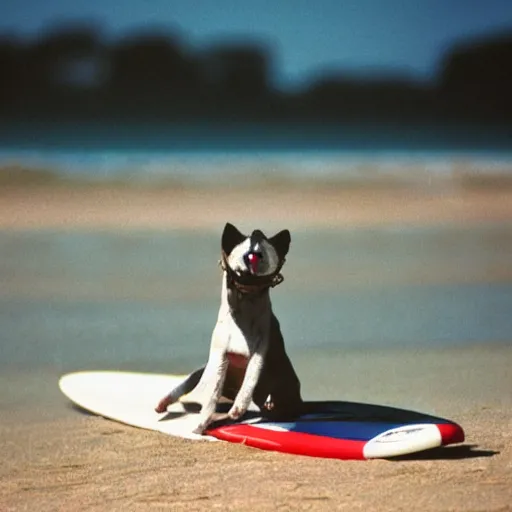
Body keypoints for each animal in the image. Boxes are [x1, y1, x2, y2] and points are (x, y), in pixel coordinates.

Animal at [154, 222, 302, 434]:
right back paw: (166, 403)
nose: (257, 231)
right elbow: (212, 392)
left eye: (266, 240)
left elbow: (250, 377)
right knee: (188, 385)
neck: (245, 299)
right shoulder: (220, 354)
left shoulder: (260, 350)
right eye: (245, 239)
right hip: (200, 373)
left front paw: (235, 409)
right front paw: (202, 423)